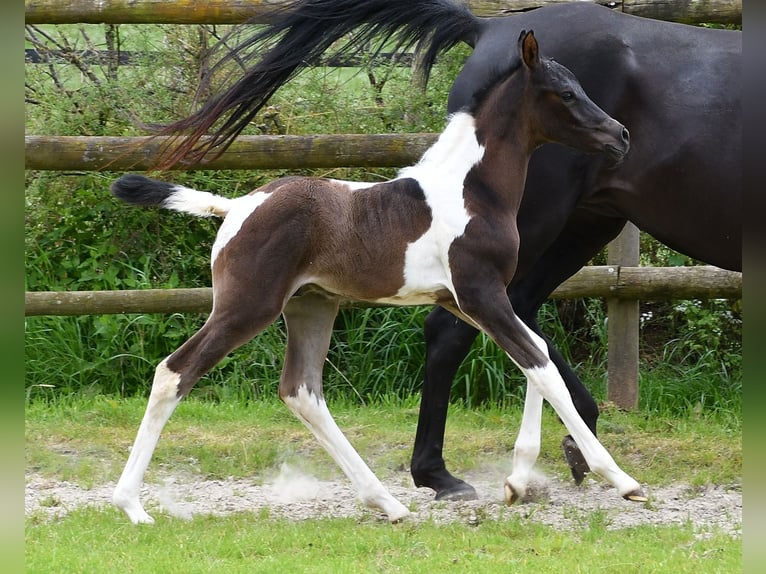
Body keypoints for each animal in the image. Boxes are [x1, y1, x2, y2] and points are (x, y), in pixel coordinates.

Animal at [112, 31, 640, 528]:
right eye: (566, 93)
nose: (621, 136)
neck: (471, 189)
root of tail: (237, 207)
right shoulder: (482, 294)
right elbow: (541, 365)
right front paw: (621, 479)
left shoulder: (463, 300)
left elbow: (537, 357)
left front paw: (518, 480)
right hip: (247, 306)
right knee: (175, 373)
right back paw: (131, 505)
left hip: (311, 304)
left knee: (301, 390)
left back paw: (387, 503)